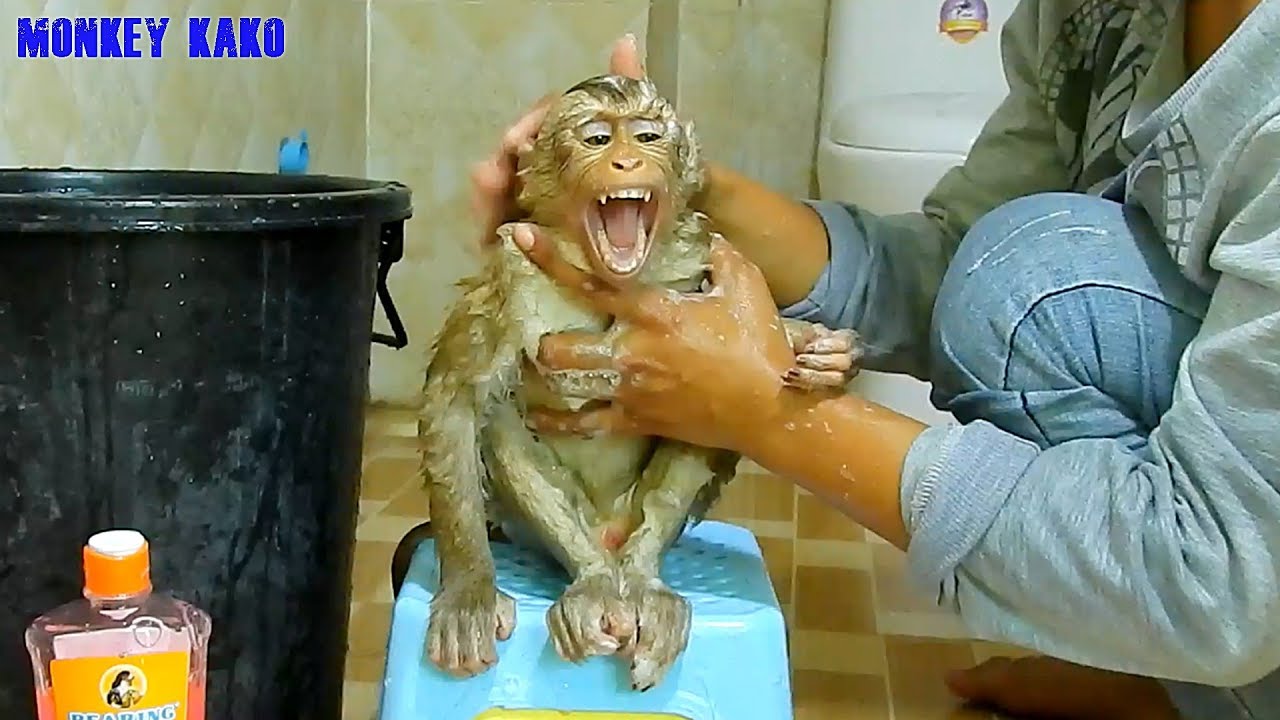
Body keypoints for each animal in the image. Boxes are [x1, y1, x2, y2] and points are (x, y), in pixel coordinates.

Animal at [416, 74, 863, 691]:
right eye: (597, 137)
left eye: (647, 135)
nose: (627, 161)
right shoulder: (512, 272)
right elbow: (456, 398)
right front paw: (468, 592)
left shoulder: (691, 267)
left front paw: (817, 347)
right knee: (502, 415)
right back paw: (593, 580)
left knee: (711, 413)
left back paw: (644, 582)